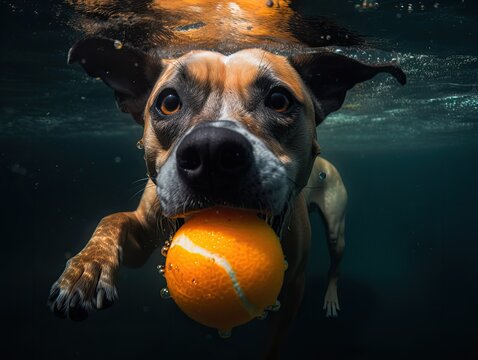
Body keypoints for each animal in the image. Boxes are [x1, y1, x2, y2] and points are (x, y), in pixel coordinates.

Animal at [49, 1, 404, 358]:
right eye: (169, 102)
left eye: (279, 100)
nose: (212, 151)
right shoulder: (141, 238)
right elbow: (112, 220)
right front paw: (86, 267)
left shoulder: (293, 291)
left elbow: (274, 343)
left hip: (335, 226)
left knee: (336, 261)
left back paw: (331, 297)